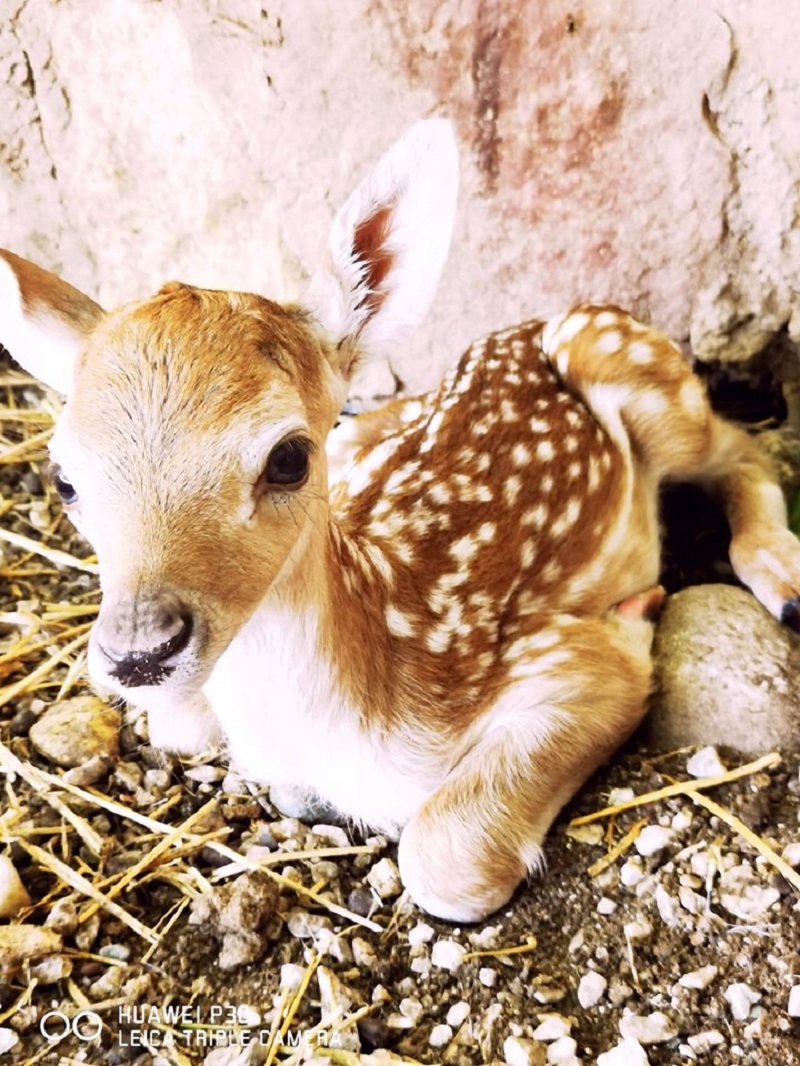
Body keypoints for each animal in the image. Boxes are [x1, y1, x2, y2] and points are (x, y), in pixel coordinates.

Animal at [1, 120, 800, 921]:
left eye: (287, 458)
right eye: (64, 479)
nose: (138, 653)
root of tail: (524, 325)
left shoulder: (564, 660)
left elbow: (442, 858)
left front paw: (638, 614)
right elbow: (178, 724)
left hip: (634, 369)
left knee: (742, 442)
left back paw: (780, 576)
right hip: (368, 431)